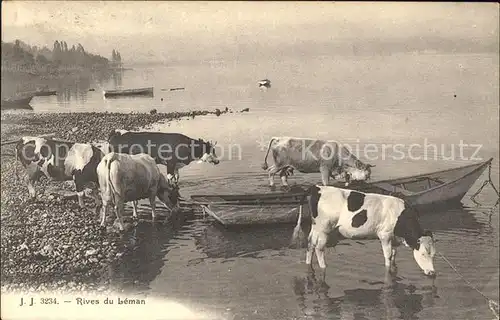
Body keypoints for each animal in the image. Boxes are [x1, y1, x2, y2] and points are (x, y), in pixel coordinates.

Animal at [292, 185, 438, 278]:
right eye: (423, 254)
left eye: (433, 254)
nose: (432, 272)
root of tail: (316, 187)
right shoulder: (384, 235)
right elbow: (388, 256)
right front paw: (388, 271)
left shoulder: (394, 237)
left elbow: (394, 255)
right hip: (324, 228)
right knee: (319, 248)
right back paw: (324, 267)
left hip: (316, 227)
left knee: (310, 244)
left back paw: (308, 264)